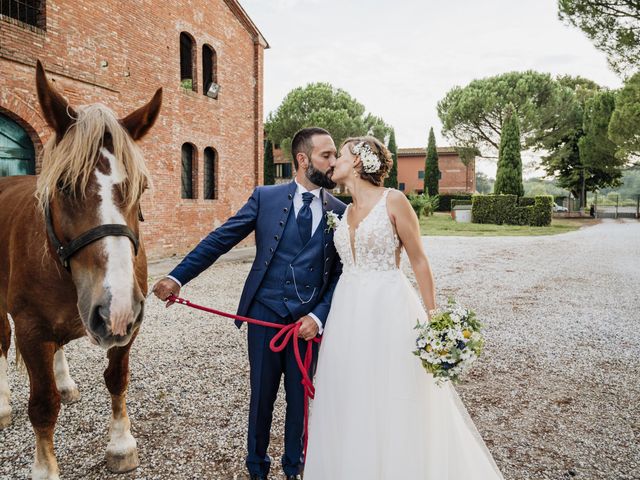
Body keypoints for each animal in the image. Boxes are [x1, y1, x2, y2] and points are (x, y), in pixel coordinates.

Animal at [0, 61, 160, 480]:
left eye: (140, 188)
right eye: (63, 185)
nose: (114, 307)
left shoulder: (127, 325)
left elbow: (117, 380)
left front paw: (121, 444)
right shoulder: (31, 328)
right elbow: (42, 406)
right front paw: (44, 469)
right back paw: (2, 404)